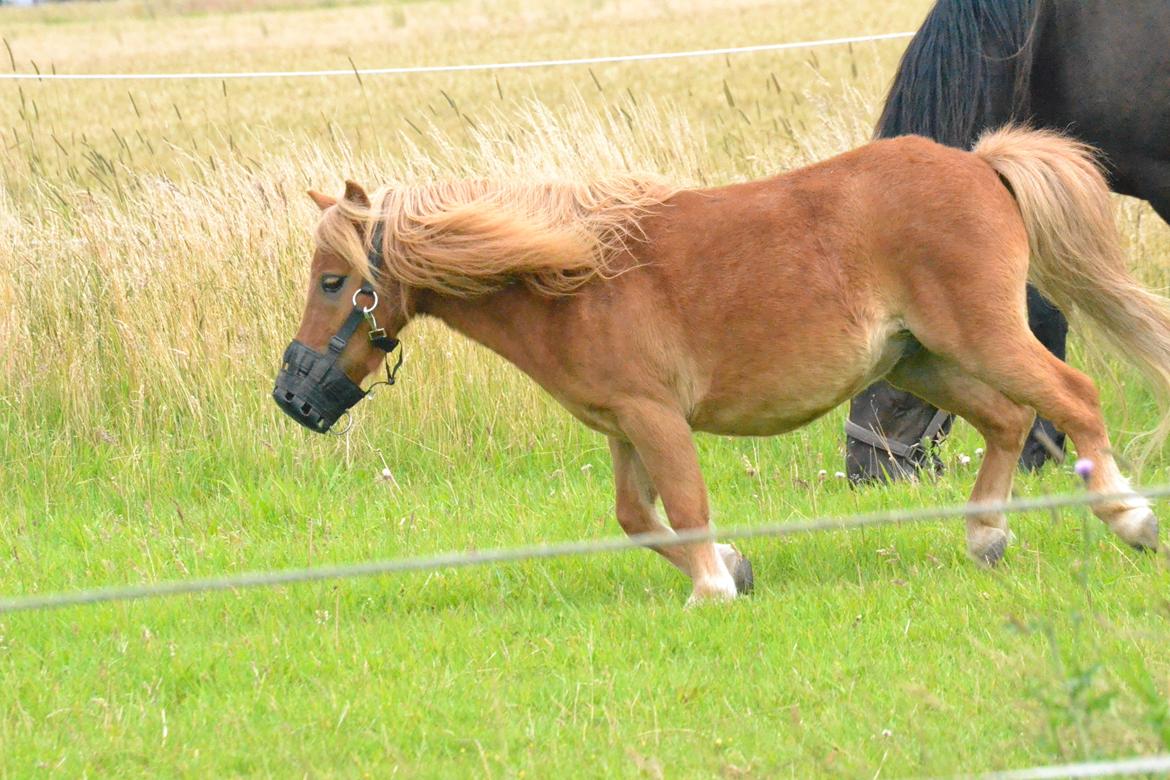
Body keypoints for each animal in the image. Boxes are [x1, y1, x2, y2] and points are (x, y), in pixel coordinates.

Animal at [271, 126, 1160, 603]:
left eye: (333, 281)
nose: (292, 398)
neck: (573, 277)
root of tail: (980, 163)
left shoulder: (656, 417)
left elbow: (687, 506)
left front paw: (711, 586)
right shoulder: (623, 426)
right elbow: (636, 518)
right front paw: (734, 565)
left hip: (981, 339)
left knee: (1073, 399)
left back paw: (1130, 518)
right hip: (921, 364)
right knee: (1010, 420)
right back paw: (985, 536)